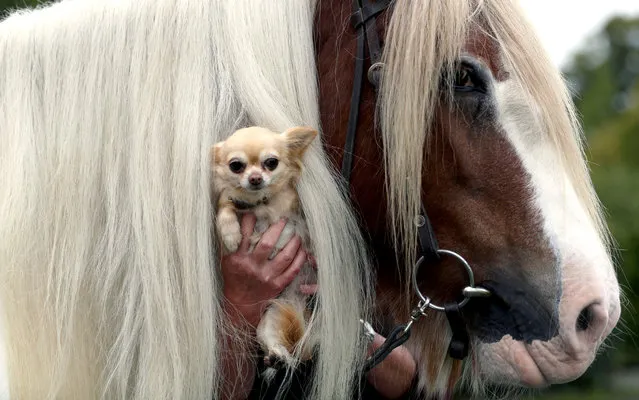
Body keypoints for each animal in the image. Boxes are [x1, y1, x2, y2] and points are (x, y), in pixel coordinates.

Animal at [211, 124, 318, 376]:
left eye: (271, 162)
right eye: (236, 165)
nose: (255, 178)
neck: (261, 203)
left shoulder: (294, 209)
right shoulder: (230, 202)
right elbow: (226, 209)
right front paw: (231, 236)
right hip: (271, 316)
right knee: (273, 341)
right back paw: (278, 356)